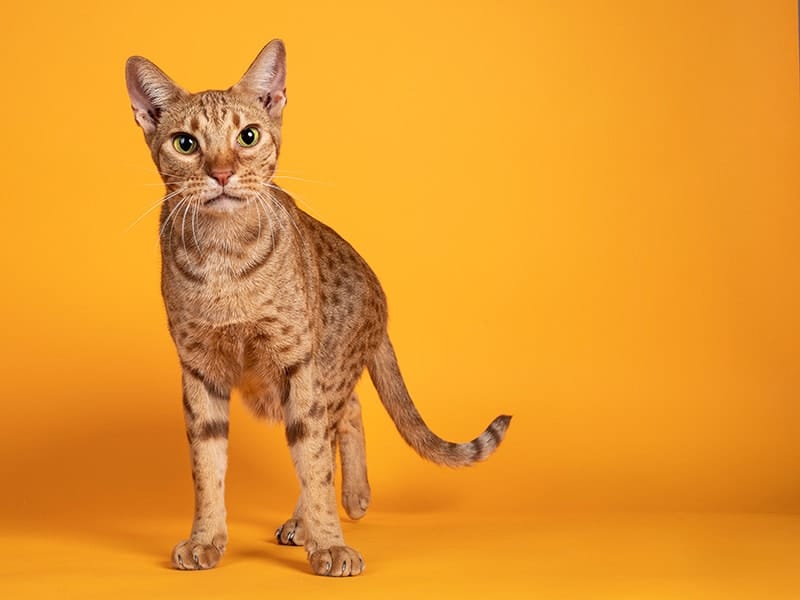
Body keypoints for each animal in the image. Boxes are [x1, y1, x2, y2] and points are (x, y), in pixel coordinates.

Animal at [125, 38, 512, 576]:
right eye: (186, 144)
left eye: (248, 137)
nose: (222, 173)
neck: (225, 260)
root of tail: (380, 297)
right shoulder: (199, 367)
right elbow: (207, 467)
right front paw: (206, 539)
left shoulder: (296, 361)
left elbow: (312, 462)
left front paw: (328, 542)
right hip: (275, 386)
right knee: (350, 410)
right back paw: (354, 498)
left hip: (312, 370)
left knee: (332, 426)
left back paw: (318, 515)